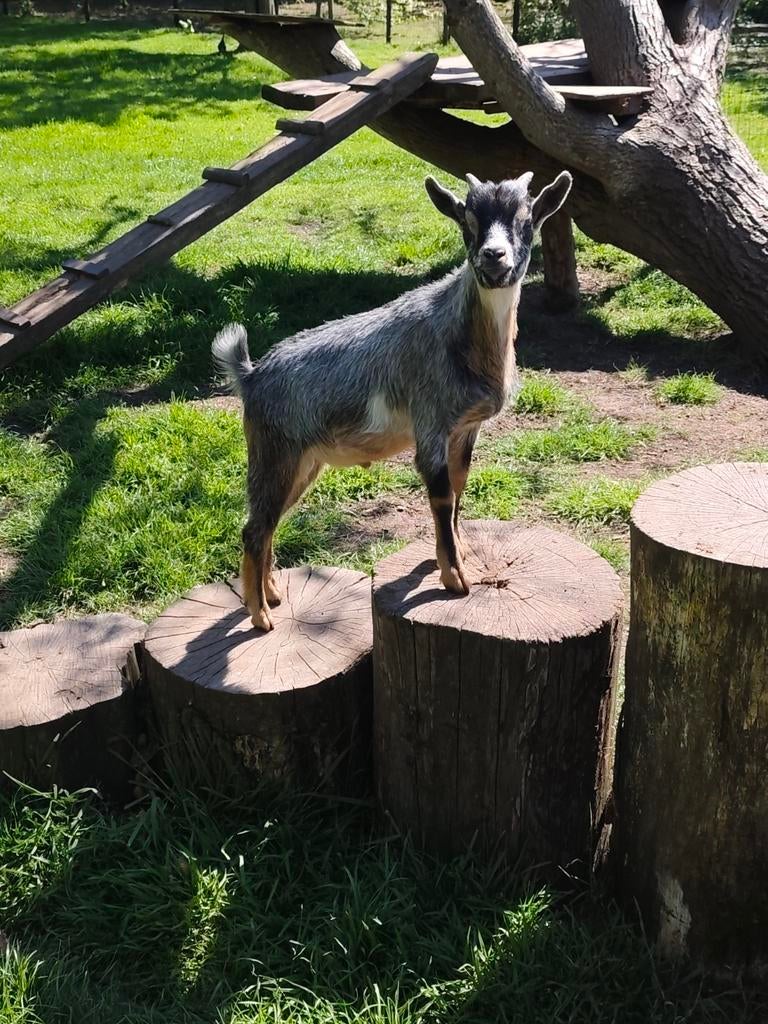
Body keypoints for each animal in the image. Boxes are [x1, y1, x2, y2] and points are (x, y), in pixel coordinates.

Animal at [213, 169, 573, 631]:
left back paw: (272, 594)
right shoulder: (430, 423)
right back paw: (259, 616)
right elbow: (441, 496)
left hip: (302, 463)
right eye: (468, 222)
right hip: (274, 452)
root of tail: (251, 375)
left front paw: (455, 555)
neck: (466, 338)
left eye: (526, 220)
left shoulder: (465, 429)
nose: (493, 257)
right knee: (255, 529)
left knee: (268, 522)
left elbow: (458, 490)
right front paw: (455, 579)